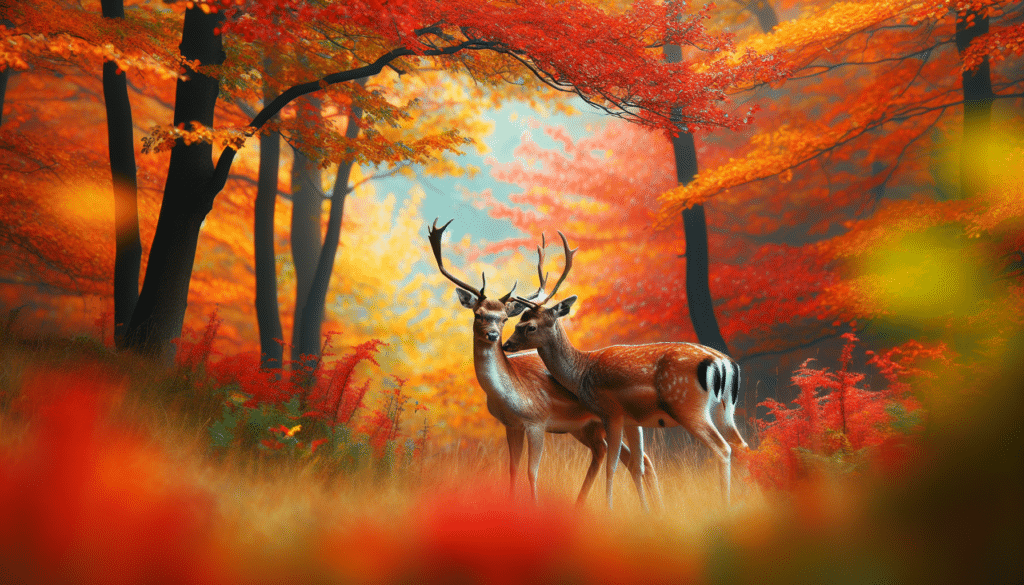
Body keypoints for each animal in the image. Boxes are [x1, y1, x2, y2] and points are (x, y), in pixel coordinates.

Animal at [428, 219, 659, 506]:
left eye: (504, 318)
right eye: (478, 314)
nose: (493, 336)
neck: (508, 395)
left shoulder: (537, 421)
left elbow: (532, 472)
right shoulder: (511, 425)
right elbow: (513, 469)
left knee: (639, 458)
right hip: (588, 426)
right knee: (616, 454)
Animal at [502, 231, 748, 509]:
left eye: (530, 326)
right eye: (518, 321)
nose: (506, 344)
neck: (581, 373)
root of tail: (725, 364)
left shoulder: (612, 412)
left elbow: (613, 465)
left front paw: (609, 507)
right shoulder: (634, 420)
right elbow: (639, 465)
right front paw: (648, 510)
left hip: (688, 405)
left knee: (723, 448)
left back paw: (725, 503)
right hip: (725, 409)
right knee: (743, 446)